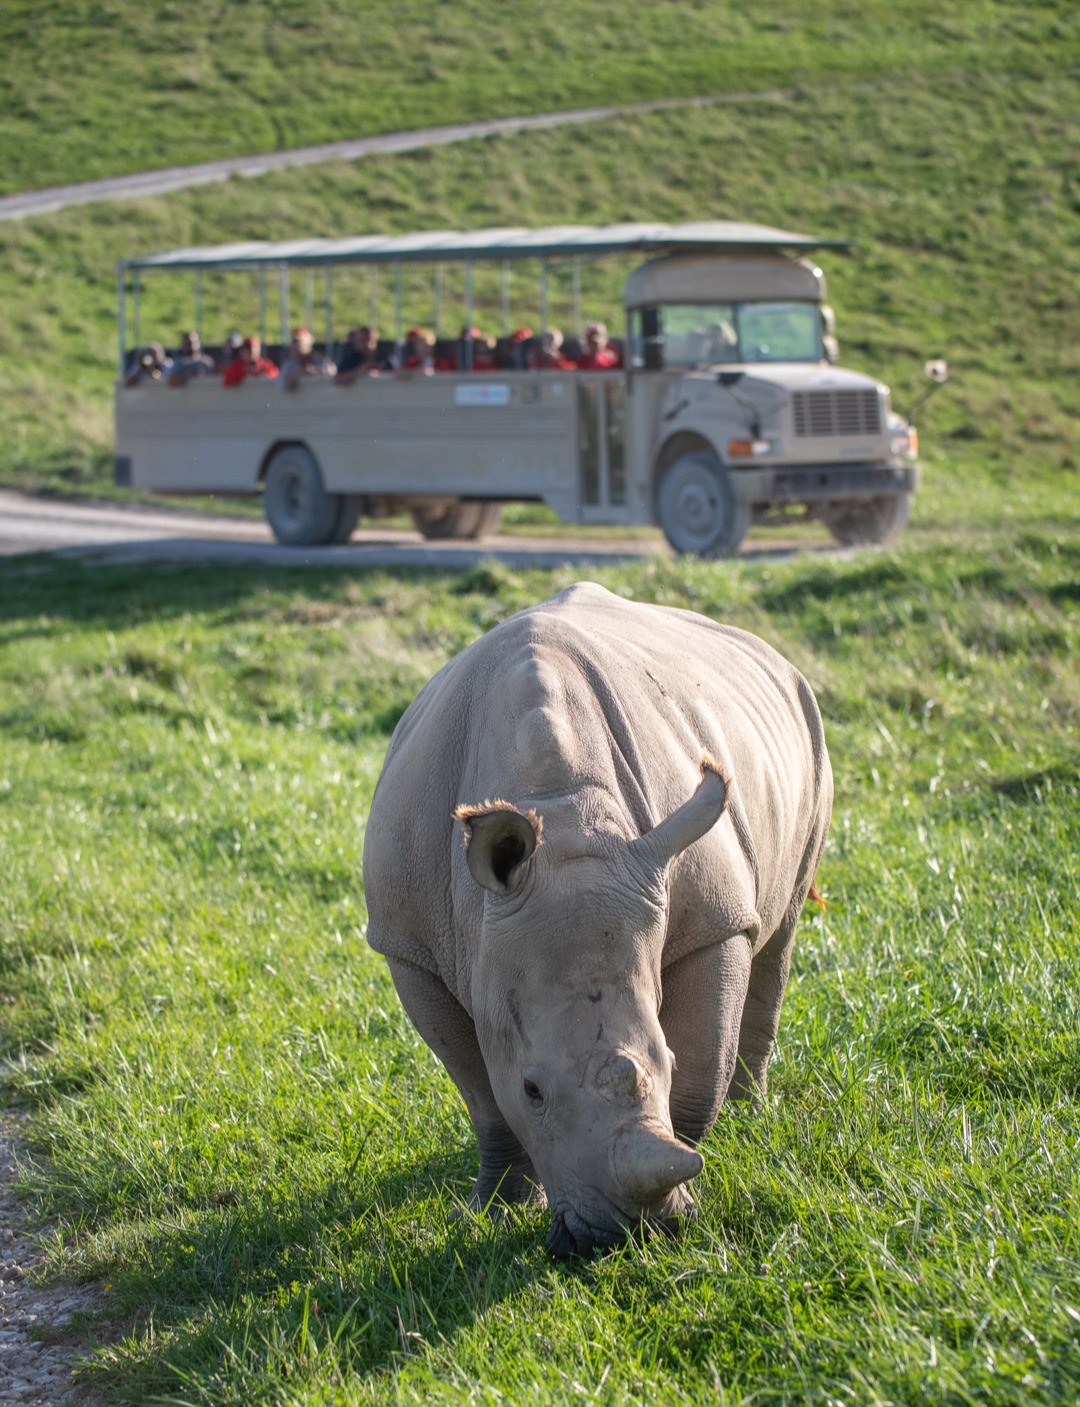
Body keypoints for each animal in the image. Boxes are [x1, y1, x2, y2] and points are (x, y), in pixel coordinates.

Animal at [363, 583, 831, 1257]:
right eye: (532, 1089)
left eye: (665, 1061)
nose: (626, 1236)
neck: (562, 819)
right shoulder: (409, 945)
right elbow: (483, 1098)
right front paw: (496, 1211)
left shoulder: (711, 918)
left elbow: (699, 1072)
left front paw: (691, 1161)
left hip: (807, 723)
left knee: (780, 930)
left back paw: (750, 1117)